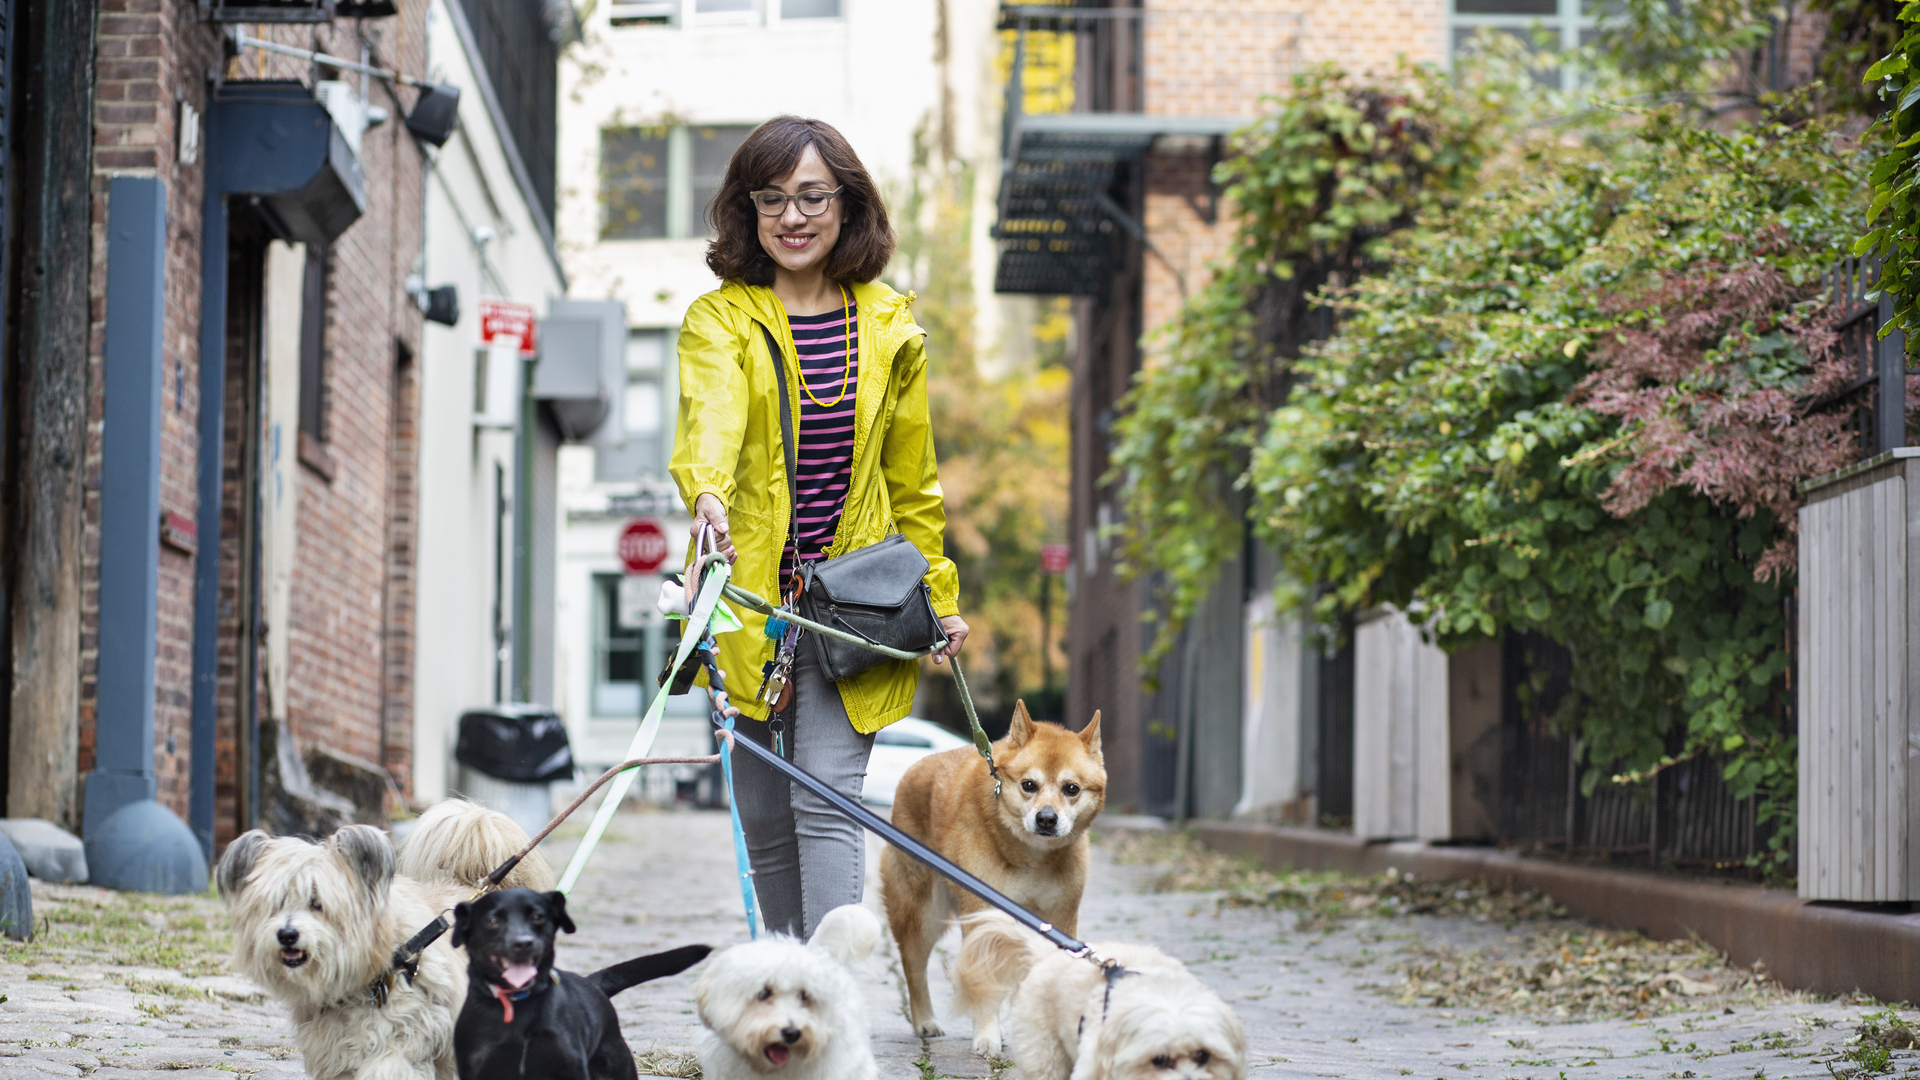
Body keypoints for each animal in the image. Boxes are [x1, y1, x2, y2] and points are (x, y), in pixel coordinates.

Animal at [214, 795, 552, 1076]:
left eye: (316, 902)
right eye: (277, 902)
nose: (286, 934)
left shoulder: (414, 1033)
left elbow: (389, 1064)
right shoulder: (335, 1053)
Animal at [451, 883, 714, 1076]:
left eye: (538, 916)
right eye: (492, 920)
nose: (523, 942)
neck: (518, 1004)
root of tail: (592, 984)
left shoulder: (570, 1067)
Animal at [879, 699, 1105, 1053]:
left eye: (1072, 789)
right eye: (1029, 785)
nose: (1046, 819)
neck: (1032, 857)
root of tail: (914, 768)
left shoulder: (1060, 920)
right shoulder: (983, 915)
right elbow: (983, 982)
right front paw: (986, 1037)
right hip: (922, 916)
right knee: (913, 968)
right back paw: (925, 1021)